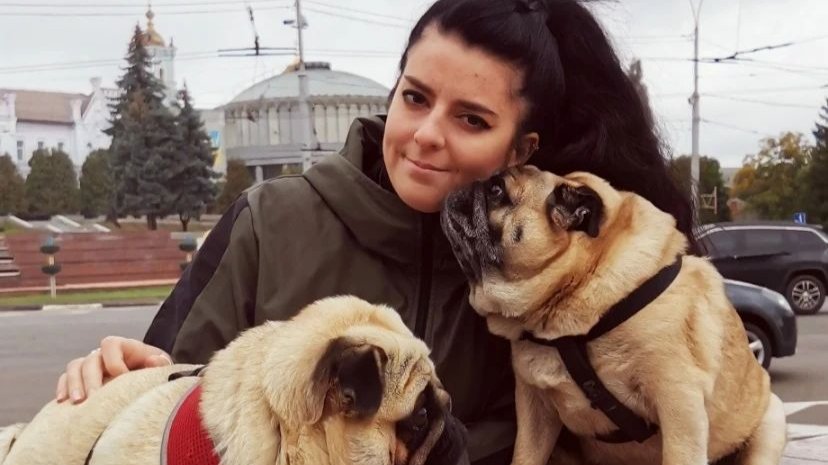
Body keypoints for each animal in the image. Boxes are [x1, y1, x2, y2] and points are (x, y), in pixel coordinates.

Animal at [441, 166, 786, 465]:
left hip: (771, 423)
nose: (466, 184)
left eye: (497, 190)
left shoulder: (679, 402)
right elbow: (525, 456)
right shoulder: (534, 408)